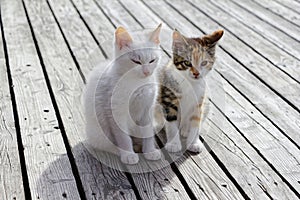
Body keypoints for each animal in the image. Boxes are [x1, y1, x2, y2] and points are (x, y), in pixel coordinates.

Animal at [83, 23, 163, 164]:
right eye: (136, 61)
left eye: (152, 60)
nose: (147, 72)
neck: (136, 83)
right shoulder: (115, 112)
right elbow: (123, 137)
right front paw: (128, 154)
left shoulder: (147, 109)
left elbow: (147, 131)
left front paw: (150, 151)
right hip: (97, 132)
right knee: (105, 145)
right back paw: (121, 151)